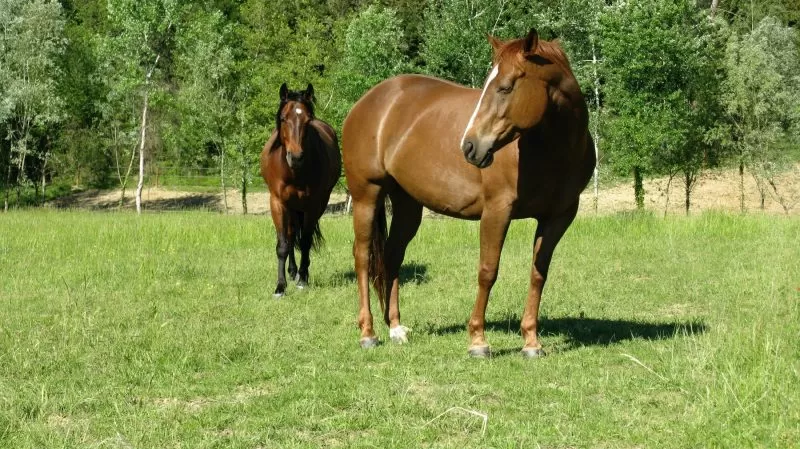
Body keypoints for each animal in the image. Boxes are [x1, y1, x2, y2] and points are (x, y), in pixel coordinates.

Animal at [260, 83, 341, 297]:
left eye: (307, 120)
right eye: (283, 118)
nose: (295, 157)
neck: (294, 172)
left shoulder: (312, 205)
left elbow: (305, 241)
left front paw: (303, 280)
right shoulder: (278, 202)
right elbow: (283, 244)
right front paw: (280, 286)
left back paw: (300, 273)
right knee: (289, 235)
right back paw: (292, 271)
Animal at [341, 29, 595, 357]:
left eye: (505, 87)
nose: (470, 146)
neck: (553, 151)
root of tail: (369, 101)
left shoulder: (559, 217)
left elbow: (538, 273)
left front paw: (531, 342)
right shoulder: (497, 211)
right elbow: (488, 271)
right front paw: (478, 340)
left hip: (407, 204)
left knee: (392, 254)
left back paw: (396, 328)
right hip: (366, 196)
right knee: (362, 256)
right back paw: (368, 333)